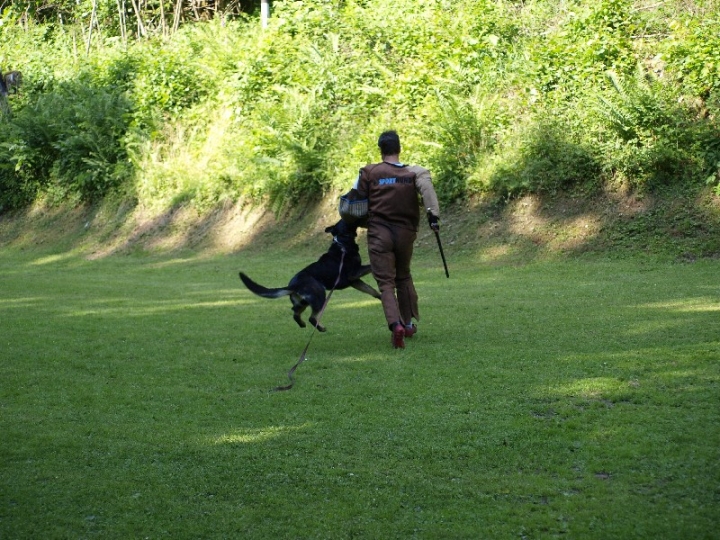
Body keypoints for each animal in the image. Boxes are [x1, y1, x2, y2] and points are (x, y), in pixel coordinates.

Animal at [238, 217, 382, 332]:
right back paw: (321, 328)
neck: (342, 241)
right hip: (320, 295)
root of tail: (293, 286)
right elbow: (370, 266)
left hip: (303, 302)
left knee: (295, 312)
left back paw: (302, 324)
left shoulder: (355, 281)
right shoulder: (354, 274)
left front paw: (380, 296)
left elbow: (371, 290)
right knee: (312, 317)